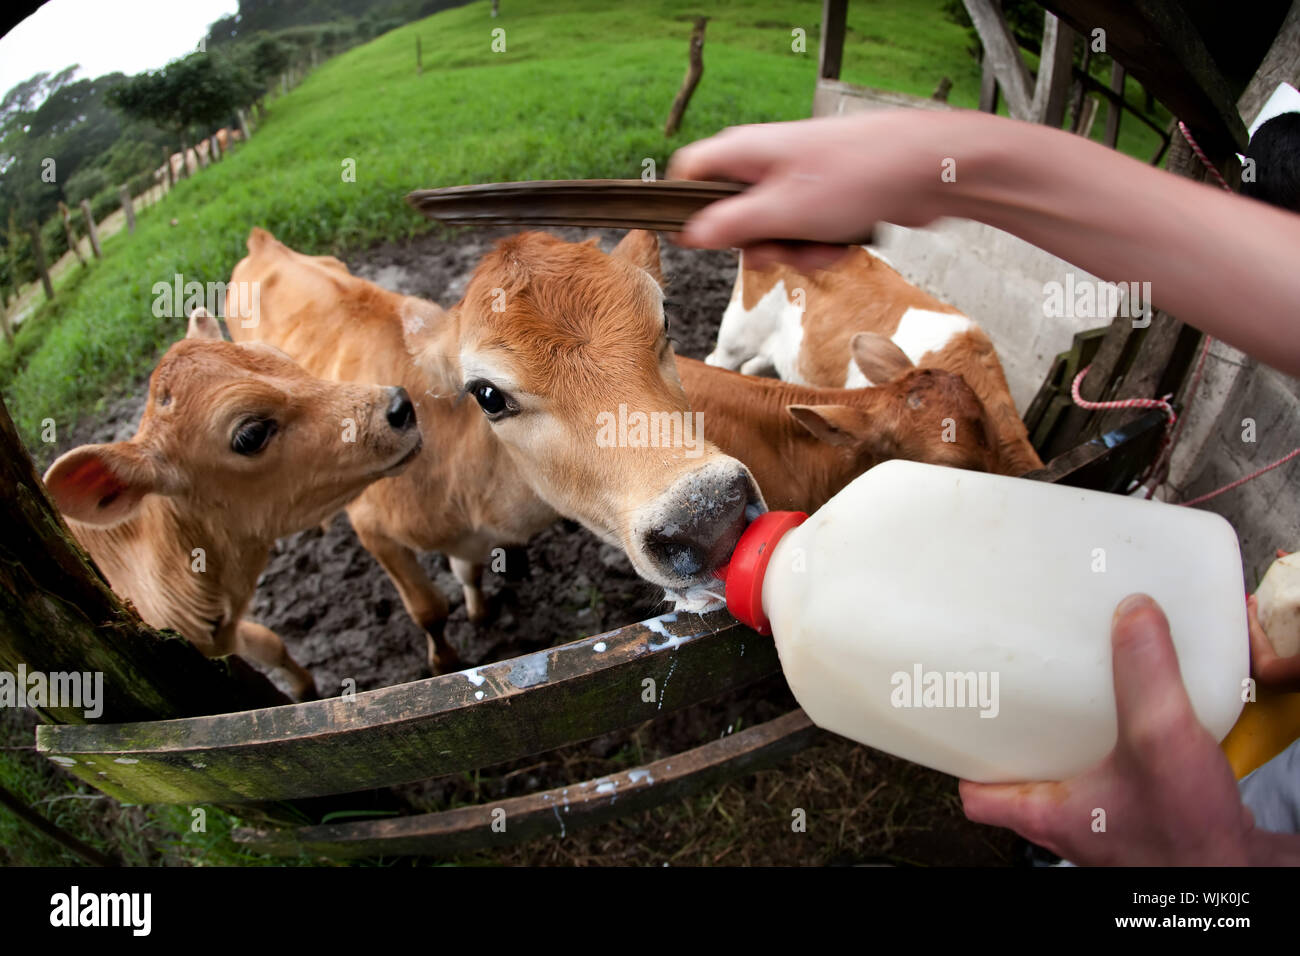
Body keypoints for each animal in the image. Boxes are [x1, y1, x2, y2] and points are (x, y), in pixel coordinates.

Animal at [230, 227, 764, 671]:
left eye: (666, 318)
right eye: (487, 395)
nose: (709, 518)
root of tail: (262, 242)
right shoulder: (373, 527)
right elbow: (428, 609)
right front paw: (446, 659)